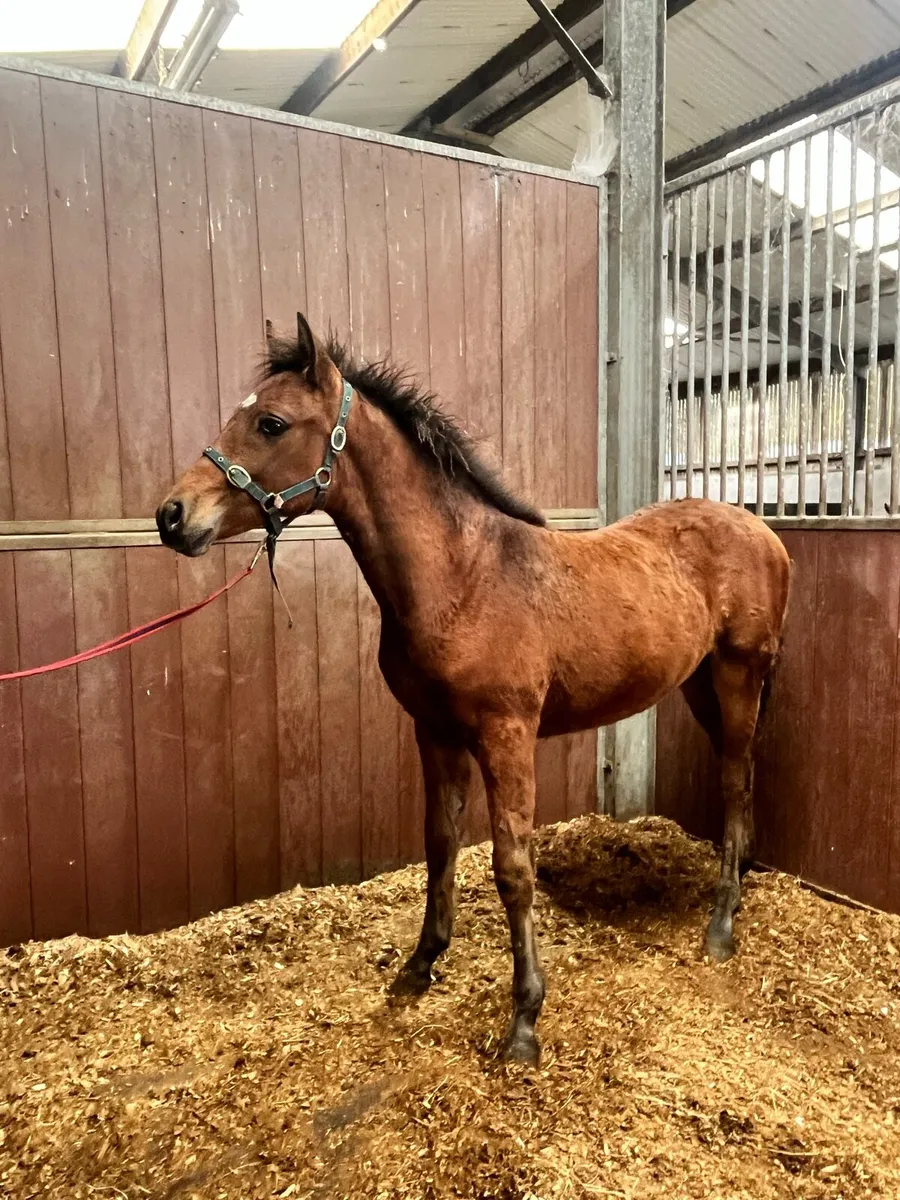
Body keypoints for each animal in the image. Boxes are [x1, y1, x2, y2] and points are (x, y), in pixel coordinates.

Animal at [156, 313, 791, 1064]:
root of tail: (761, 529)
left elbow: (513, 867)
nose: (172, 515)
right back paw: (741, 878)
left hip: (739, 671)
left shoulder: (506, 733)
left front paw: (524, 1020)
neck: (463, 577)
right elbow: (440, 843)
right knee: (739, 773)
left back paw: (721, 925)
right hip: (698, 681)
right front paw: (418, 967)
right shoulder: (435, 730)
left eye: (272, 423)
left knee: (734, 780)